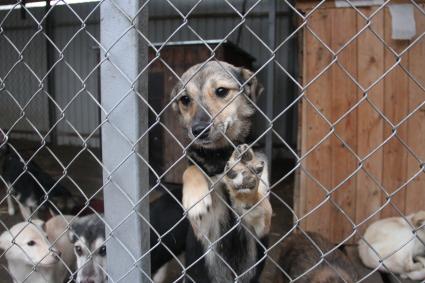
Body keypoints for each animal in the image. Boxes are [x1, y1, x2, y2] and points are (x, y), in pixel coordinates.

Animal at [171, 61, 274, 282]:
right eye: (185, 99)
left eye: (221, 91)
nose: (198, 130)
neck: (219, 156)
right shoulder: (204, 228)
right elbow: (191, 169)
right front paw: (196, 198)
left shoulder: (261, 227)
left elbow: (259, 203)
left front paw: (245, 189)